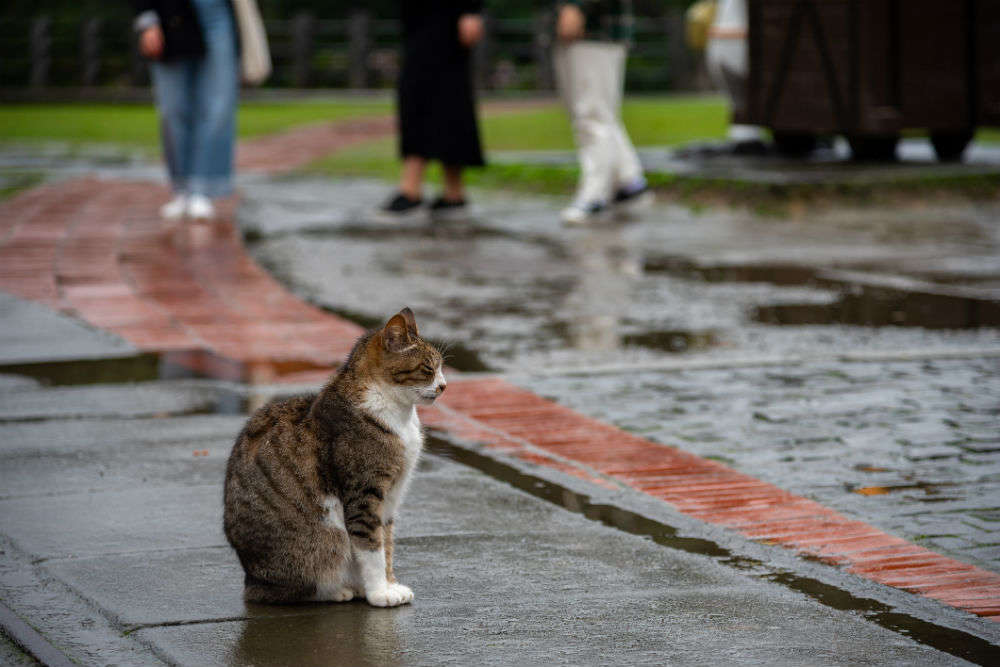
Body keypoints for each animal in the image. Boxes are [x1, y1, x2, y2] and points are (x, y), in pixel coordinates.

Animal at [229, 310, 448, 608]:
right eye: (428, 368)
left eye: (440, 367)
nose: (444, 386)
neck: (399, 413)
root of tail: (251, 581)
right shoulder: (364, 493)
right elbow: (371, 546)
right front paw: (379, 592)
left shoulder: (391, 496)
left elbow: (387, 543)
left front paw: (389, 584)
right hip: (326, 536)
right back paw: (338, 591)